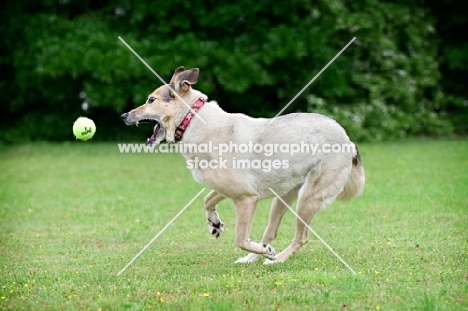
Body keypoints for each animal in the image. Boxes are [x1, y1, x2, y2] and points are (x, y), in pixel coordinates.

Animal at [121, 67, 366, 264]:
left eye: (151, 100)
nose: (124, 115)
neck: (193, 120)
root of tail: (348, 141)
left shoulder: (246, 198)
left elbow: (239, 238)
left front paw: (262, 250)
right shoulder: (227, 189)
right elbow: (207, 200)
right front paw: (214, 223)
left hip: (308, 199)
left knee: (301, 237)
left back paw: (276, 259)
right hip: (283, 197)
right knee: (270, 233)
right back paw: (253, 257)